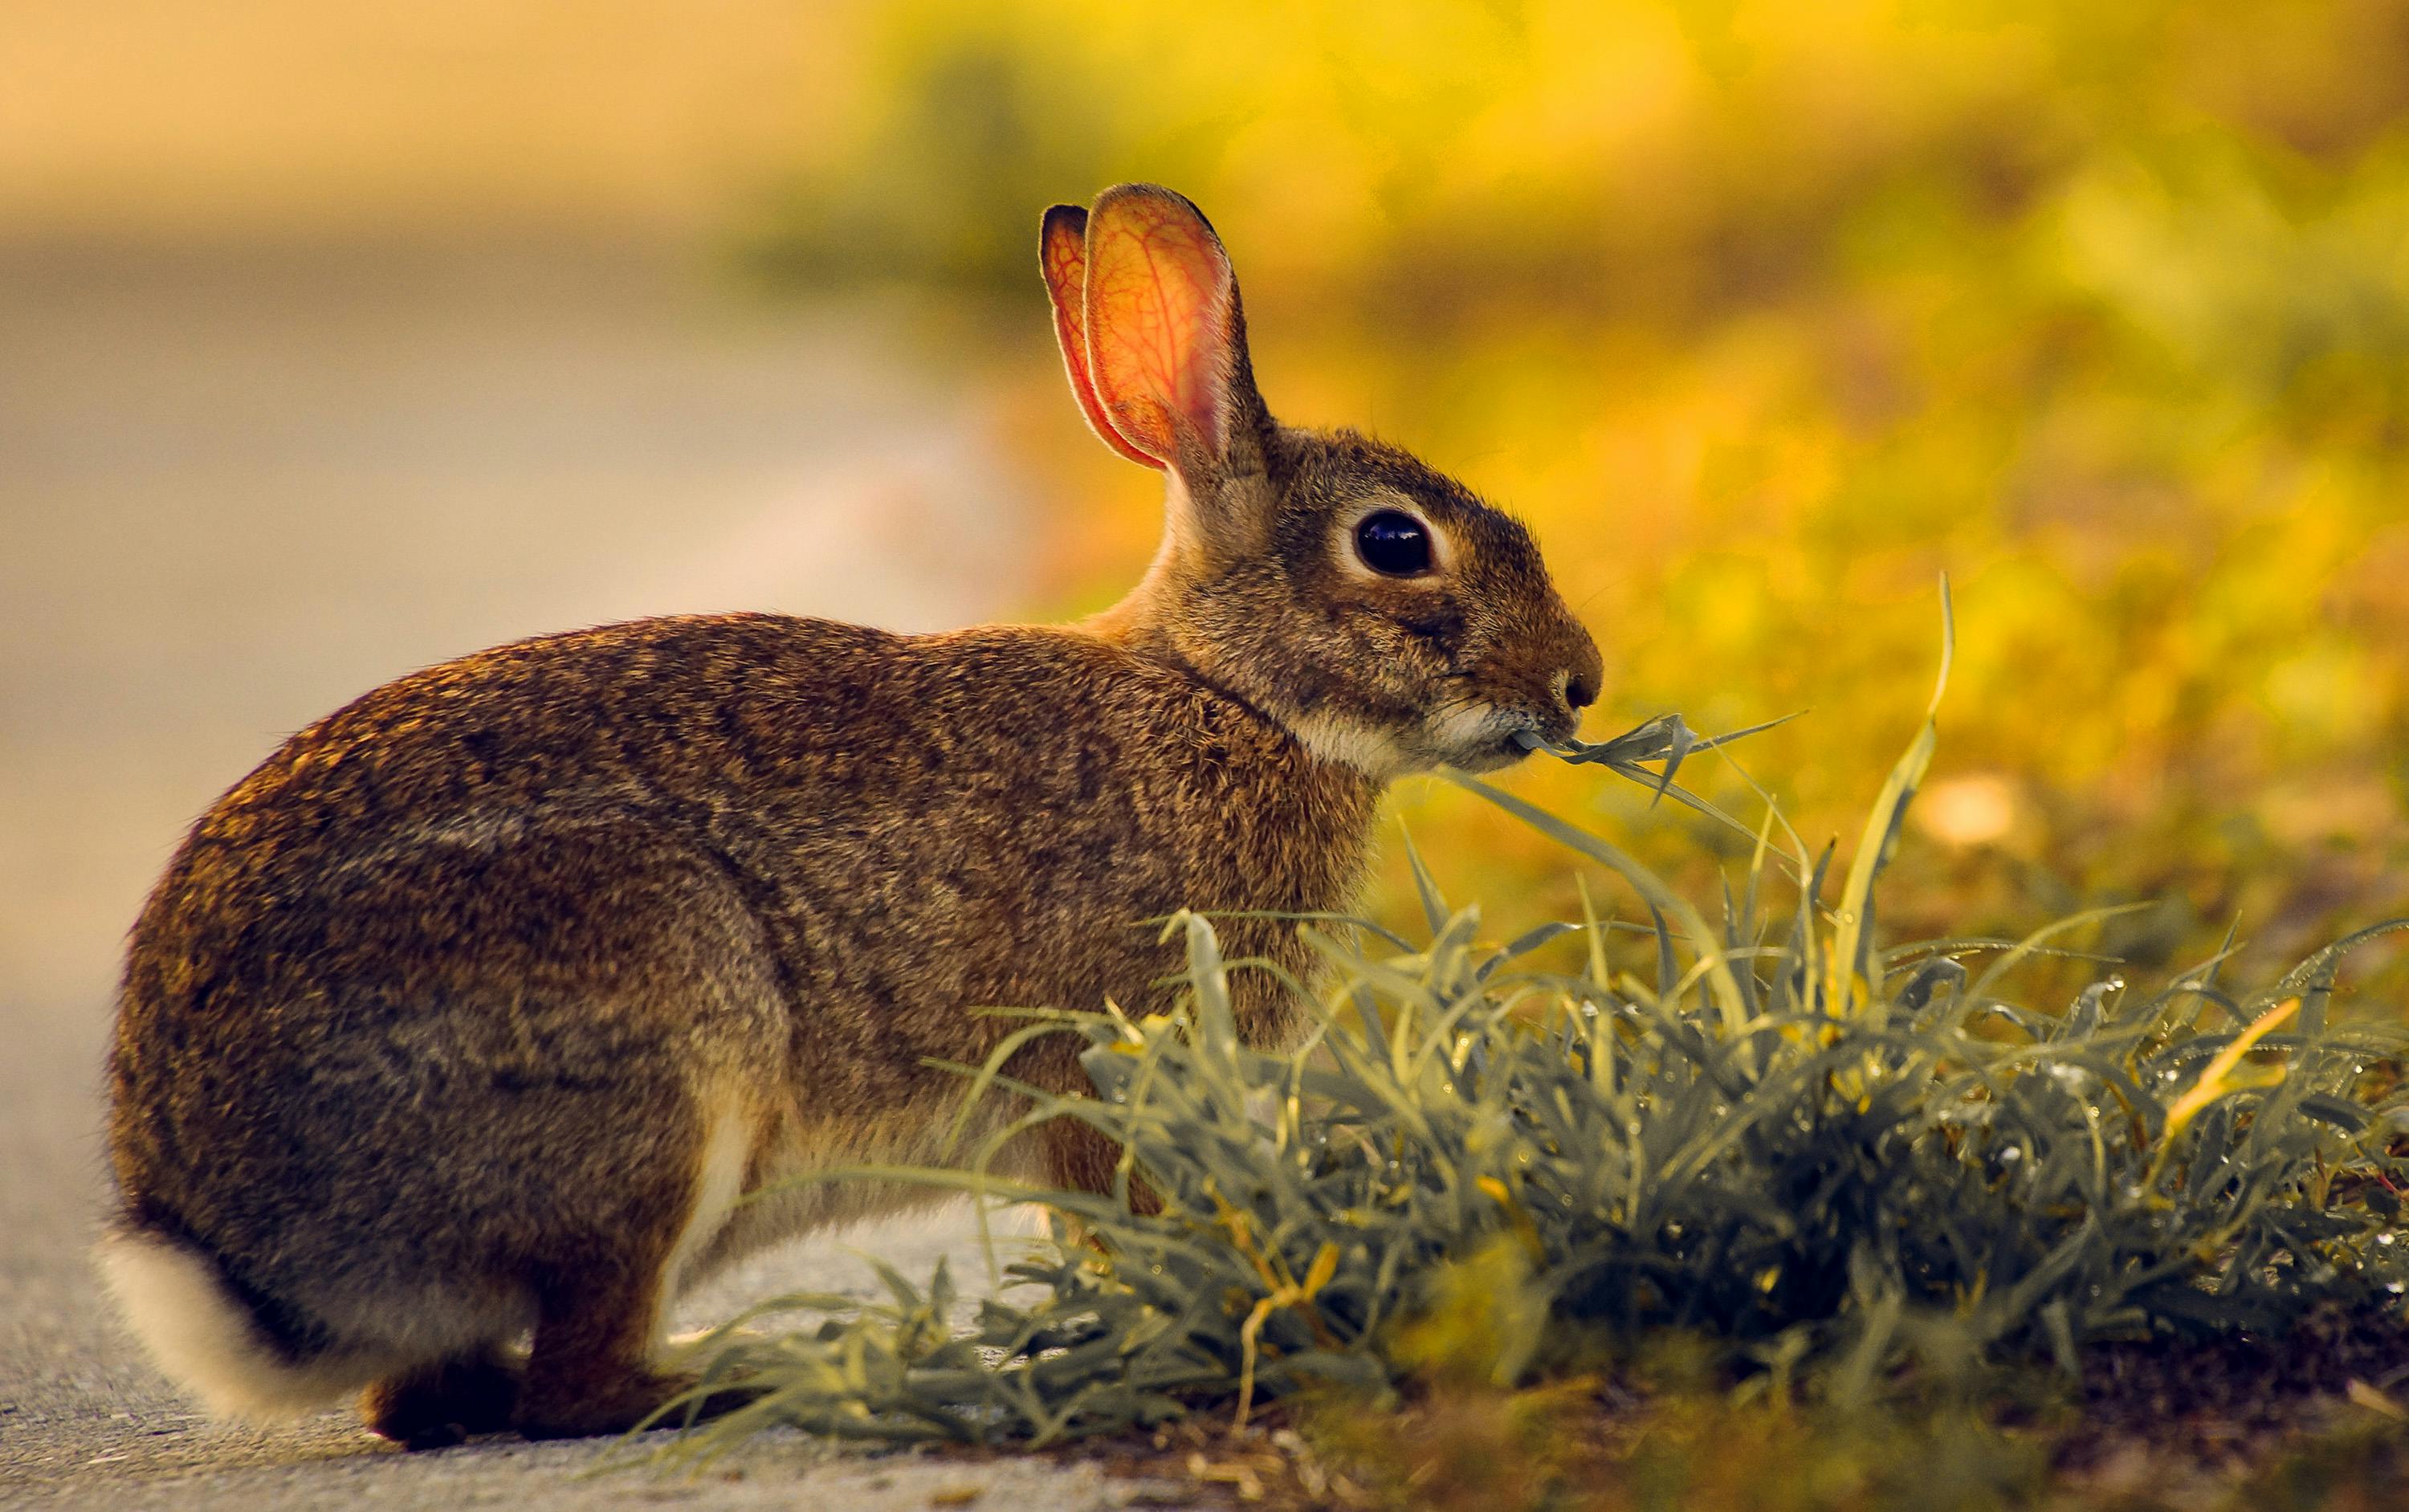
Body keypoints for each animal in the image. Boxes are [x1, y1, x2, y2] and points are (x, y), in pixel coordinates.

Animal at [99, 182, 1600, 1445]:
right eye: (1395, 542)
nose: (1581, 678)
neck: (1226, 692)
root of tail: (223, 1235)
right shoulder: (1094, 1059)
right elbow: (1122, 1211)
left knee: (436, 1402)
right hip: (657, 1031)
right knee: (567, 1383)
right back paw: (760, 1372)